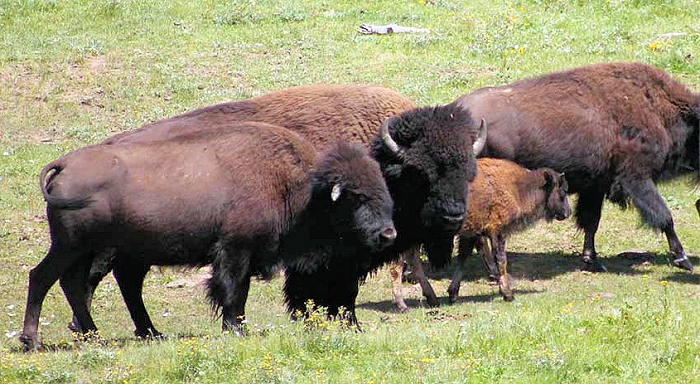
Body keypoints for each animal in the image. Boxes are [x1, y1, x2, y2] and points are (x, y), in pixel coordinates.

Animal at [392, 158, 572, 310]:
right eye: (562, 192)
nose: (568, 212)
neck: (517, 186)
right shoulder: (498, 232)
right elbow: (501, 260)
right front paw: (508, 294)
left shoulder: (472, 234)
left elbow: (463, 259)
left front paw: (453, 294)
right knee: (398, 265)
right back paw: (402, 305)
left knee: (412, 260)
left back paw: (432, 299)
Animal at [452, 63, 696, 272]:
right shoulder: (636, 179)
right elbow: (664, 216)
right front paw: (683, 260)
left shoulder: (596, 186)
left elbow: (591, 221)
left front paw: (592, 260)